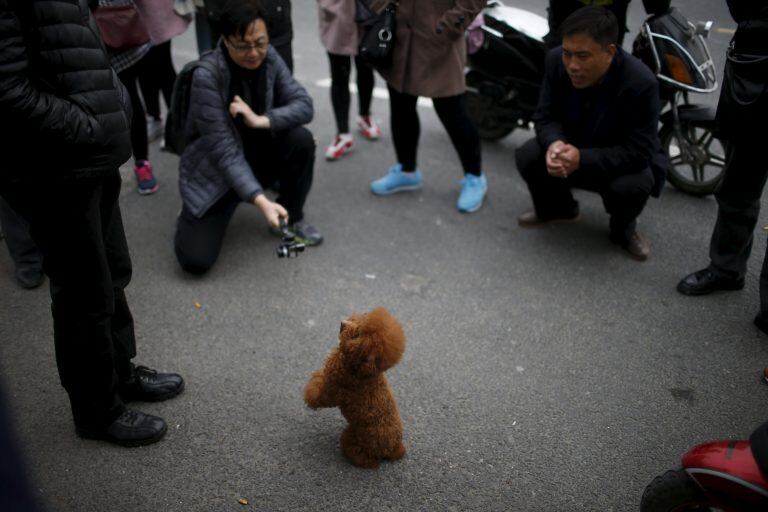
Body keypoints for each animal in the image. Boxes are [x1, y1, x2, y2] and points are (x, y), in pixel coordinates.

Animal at [304, 306, 408, 470]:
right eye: (363, 319)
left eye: (358, 334)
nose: (343, 322)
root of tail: (393, 448)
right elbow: (320, 377)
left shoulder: (336, 390)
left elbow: (320, 395)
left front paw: (310, 396)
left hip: (357, 438)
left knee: (365, 458)